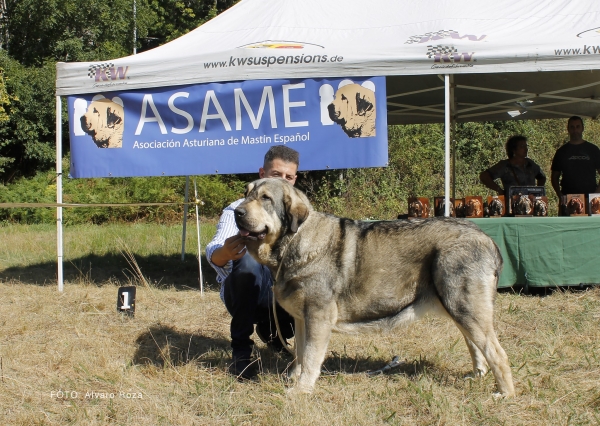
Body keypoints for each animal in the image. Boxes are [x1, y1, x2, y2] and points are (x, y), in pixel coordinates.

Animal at [234, 179, 516, 396]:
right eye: (246, 194)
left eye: (265, 198)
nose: (236, 212)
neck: (295, 240)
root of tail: (487, 239)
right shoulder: (302, 318)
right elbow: (300, 354)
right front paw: (294, 378)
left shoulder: (318, 317)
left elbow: (311, 356)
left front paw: (301, 390)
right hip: (460, 309)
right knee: (475, 345)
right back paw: (477, 376)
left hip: (465, 307)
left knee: (497, 353)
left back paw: (504, 393)